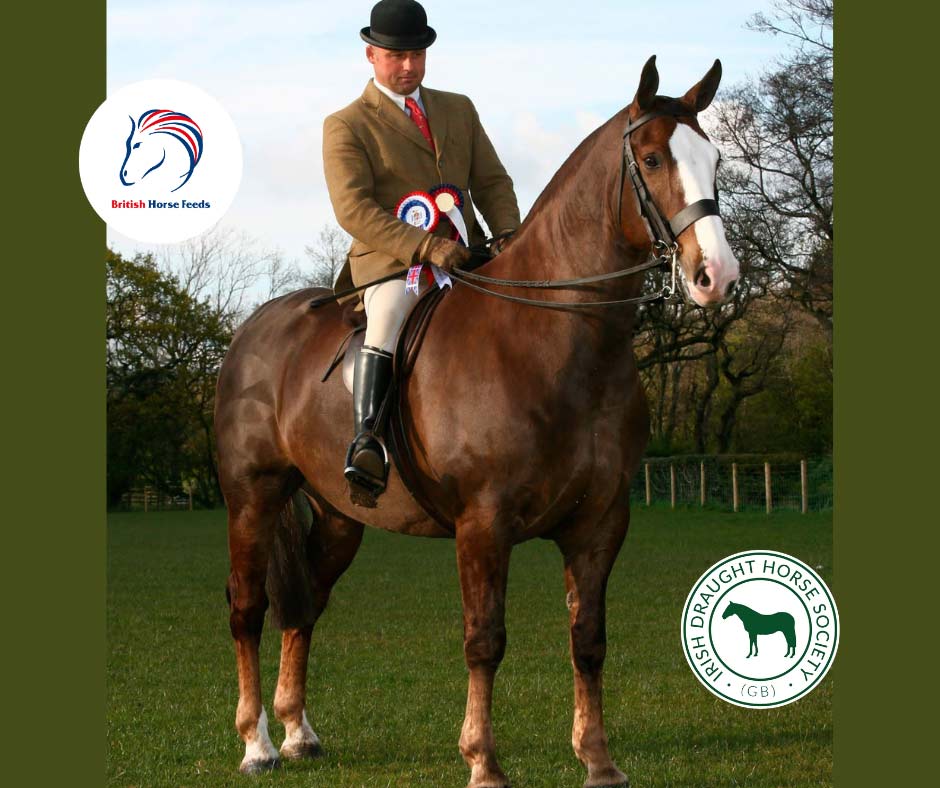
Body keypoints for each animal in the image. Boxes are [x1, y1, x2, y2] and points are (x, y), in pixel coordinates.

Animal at [214, 55, 738, 788]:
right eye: (654, 159)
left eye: (714, 159)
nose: (716, 275)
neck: (557, 341)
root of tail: (255, 329)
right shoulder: (485, 525)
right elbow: (484, 640)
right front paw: (483, 761)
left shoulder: (601, 523)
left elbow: (589, 639)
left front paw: (598, 760)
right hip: (252, 498)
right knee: (248, 606)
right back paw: (257, 743)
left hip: (341, 515)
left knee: (305, 603)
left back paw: (297, 732)